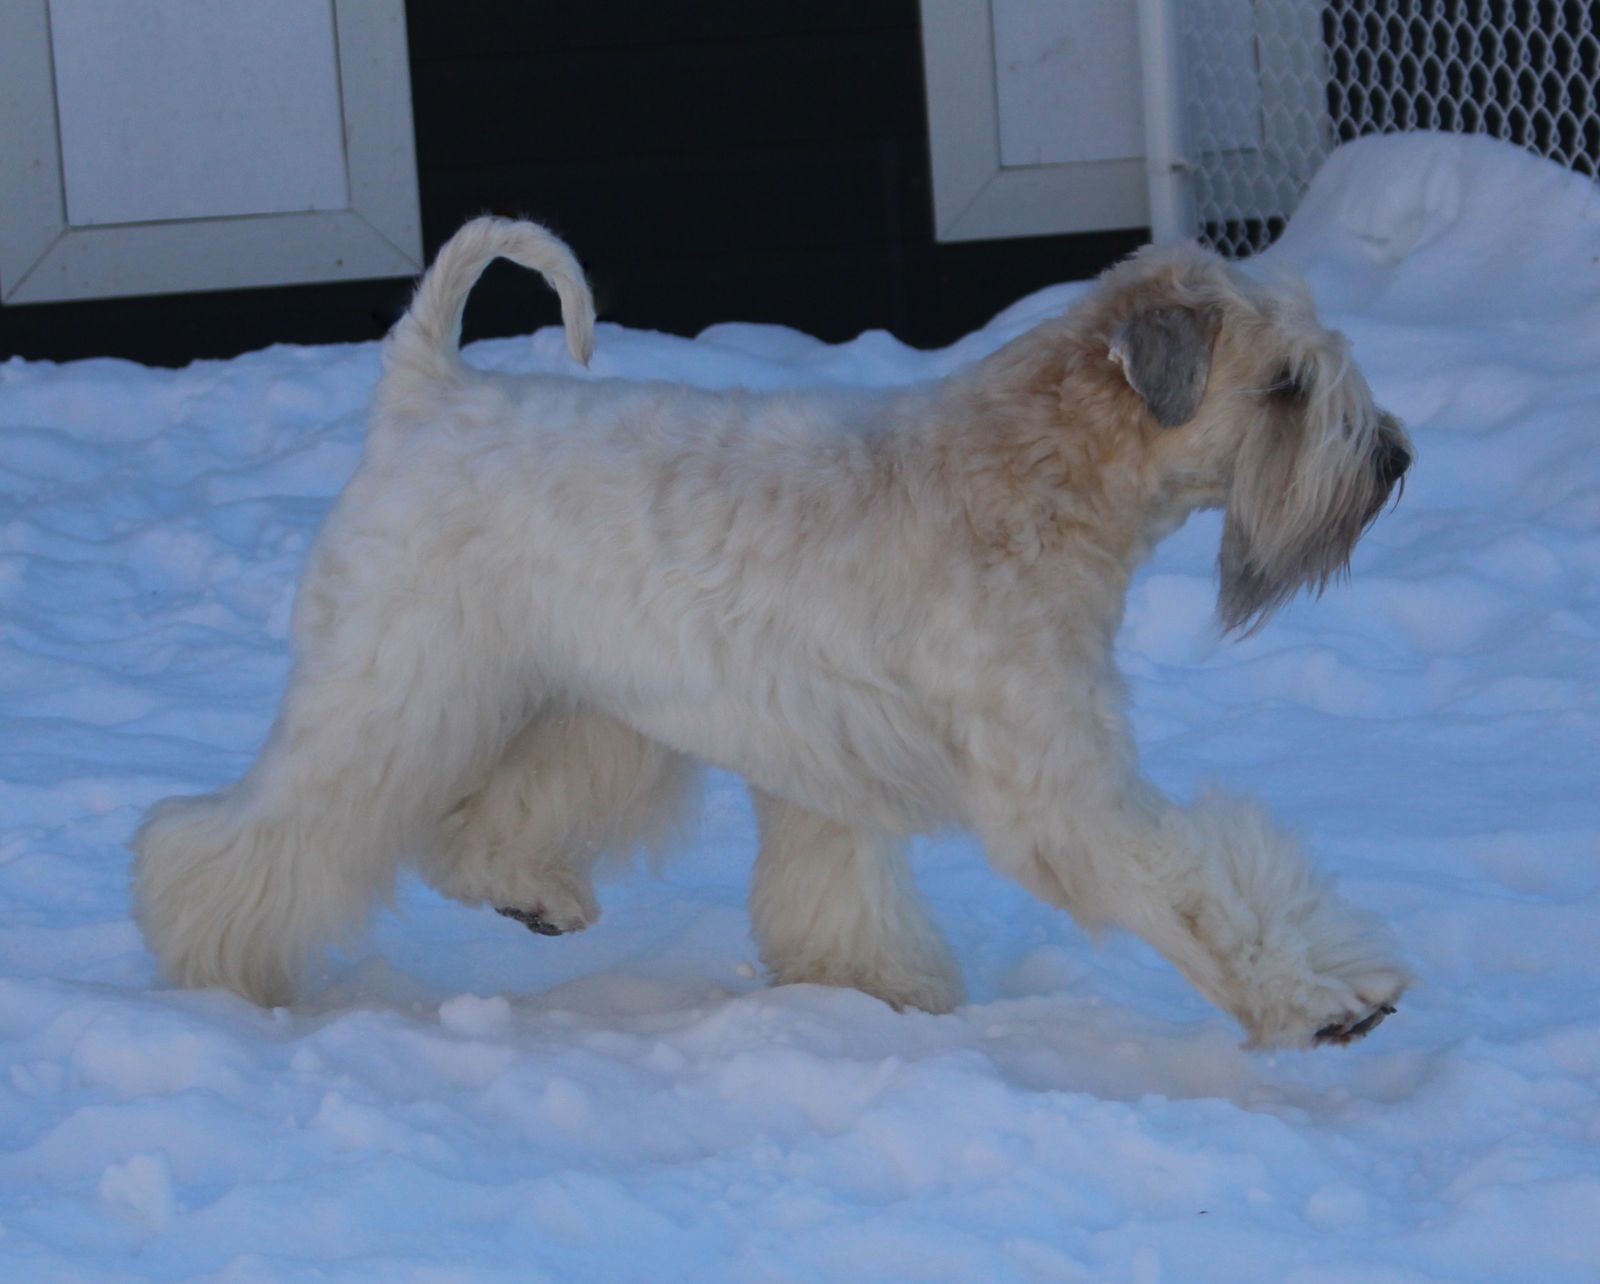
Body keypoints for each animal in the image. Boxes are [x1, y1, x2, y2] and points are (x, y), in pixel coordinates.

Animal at [133, 216, 1413, 1049]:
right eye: (1286, 385)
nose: (1396, 458)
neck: (1035, 476)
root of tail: (423, 395)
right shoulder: (1062, 784)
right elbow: (1199, 890)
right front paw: (1318, 1003)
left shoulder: (826, 757)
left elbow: (836, 889)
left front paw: (875, 990)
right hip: (390, 689)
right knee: (244, 837)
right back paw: (213, 964)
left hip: (582, 709)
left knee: (476, 824)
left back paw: (538, 898)